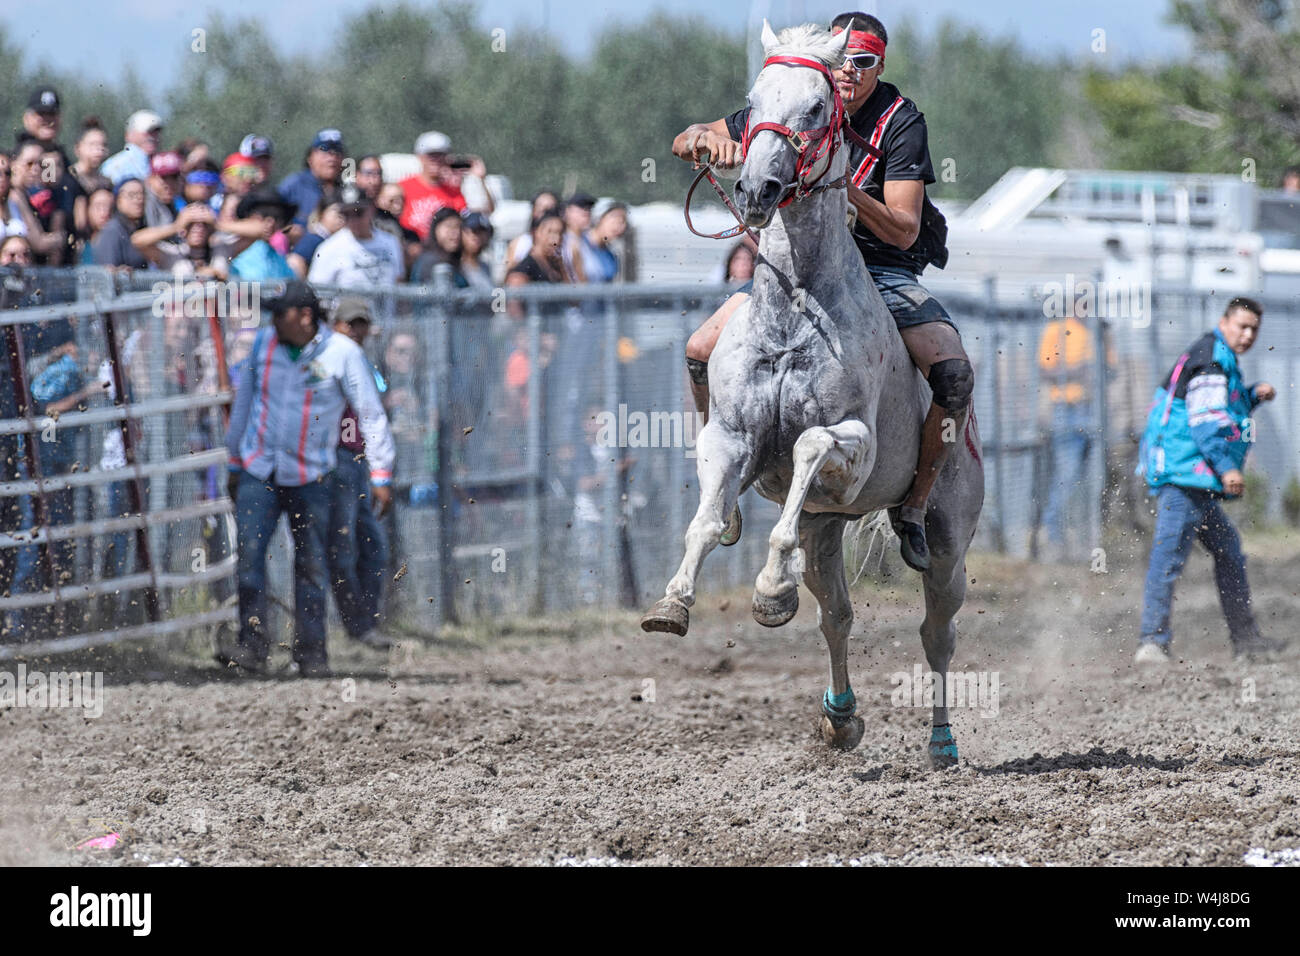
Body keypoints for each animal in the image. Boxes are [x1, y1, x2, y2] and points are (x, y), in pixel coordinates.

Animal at [640, 22, 984, 767]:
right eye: (750, 103)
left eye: (818, 108)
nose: (756, 187)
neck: (795, 313)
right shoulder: (728, 436)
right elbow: (705, 520)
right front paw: (673, 603)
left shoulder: (851, 446)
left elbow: (807, 446)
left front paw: (771, 592)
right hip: (828, 531)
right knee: (837, 617)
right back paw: (840, 718)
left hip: (949, 539)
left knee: (937, 634)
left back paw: (941, 741)